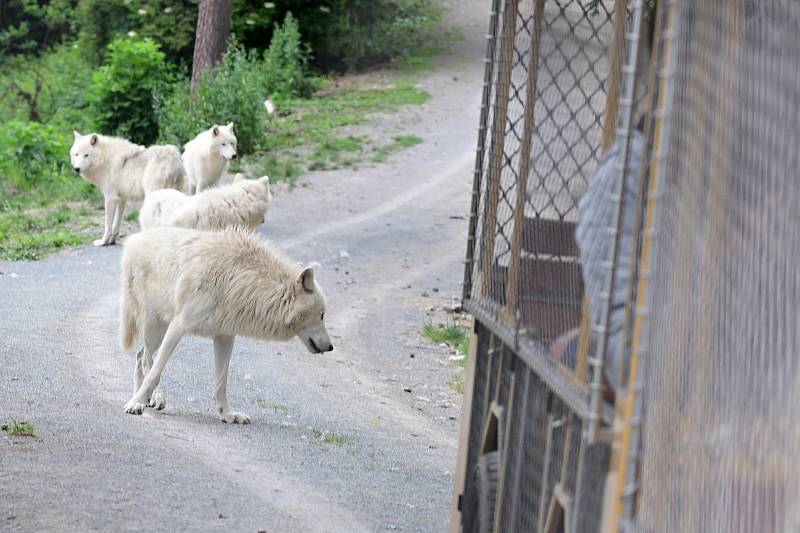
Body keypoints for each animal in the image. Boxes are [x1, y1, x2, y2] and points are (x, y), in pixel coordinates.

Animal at [118, 227, 332, 422]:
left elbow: (221, 382)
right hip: (155, 327)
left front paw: (227, 415)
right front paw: (135, 403)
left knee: (140, 355)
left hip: (159, 329)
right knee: (146, 359)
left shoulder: (225, 336)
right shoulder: (179, 325)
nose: (331, 347)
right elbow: (155, 373)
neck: (237, 280)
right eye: (322, 315)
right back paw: (145, 399)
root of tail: (134, 239)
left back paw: (147, 399)